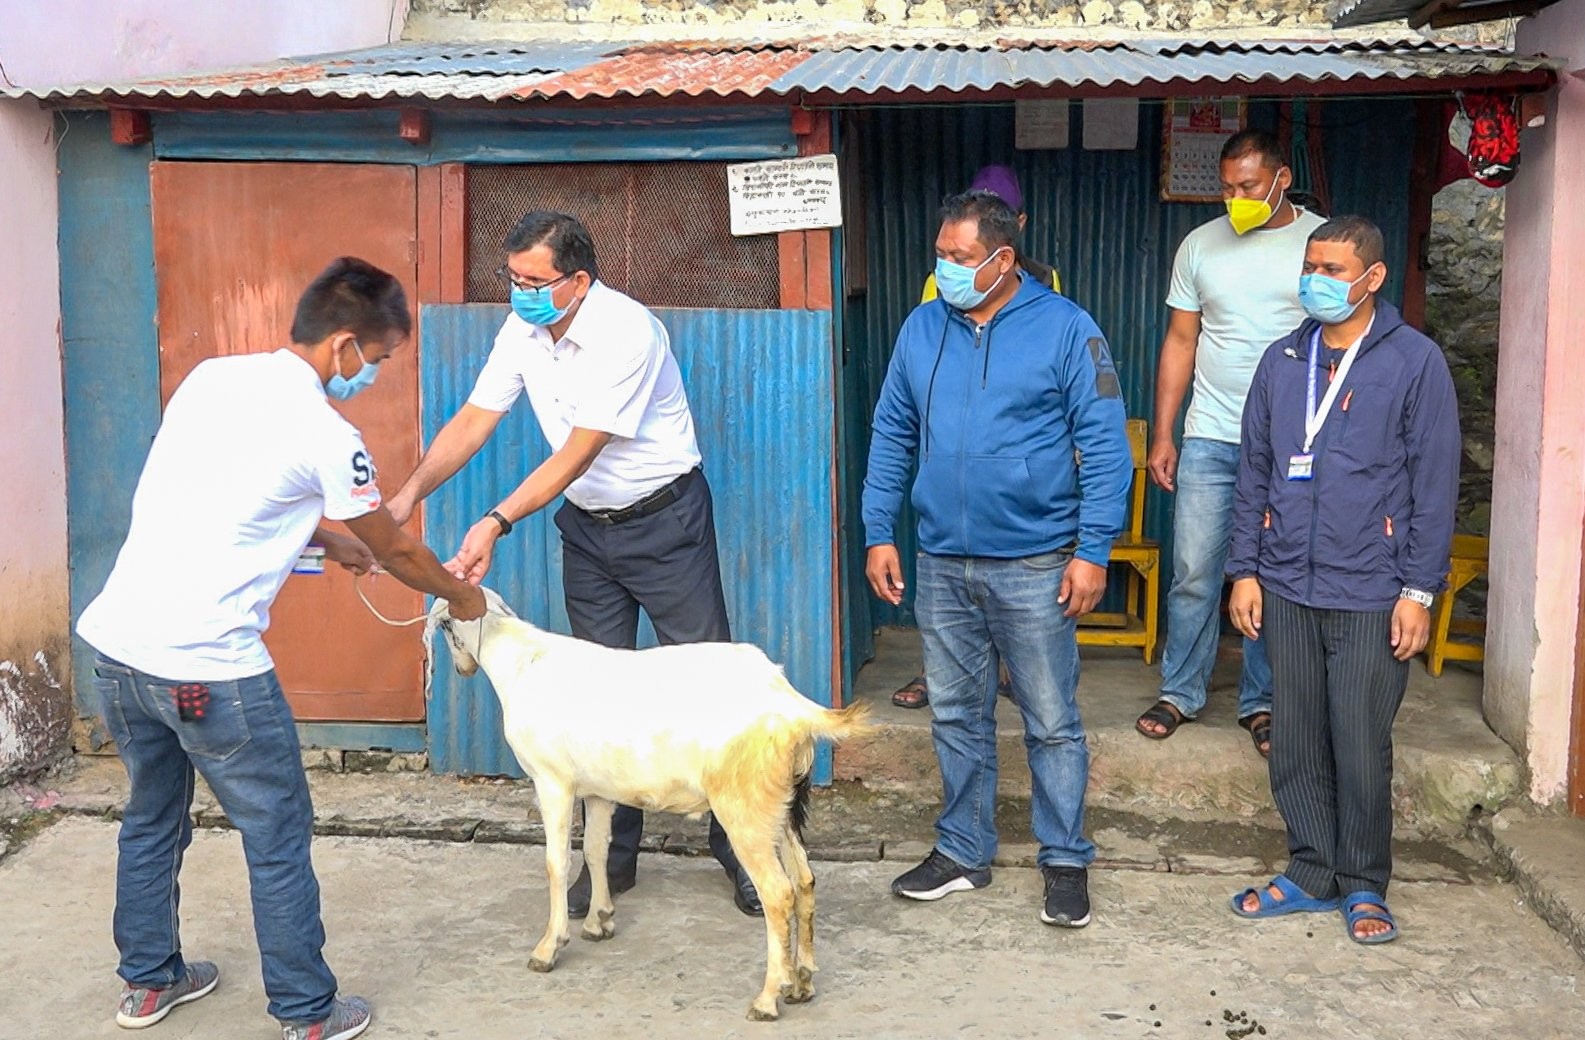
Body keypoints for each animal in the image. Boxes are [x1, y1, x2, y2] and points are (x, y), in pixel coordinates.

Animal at [431, 589, 868, 1020]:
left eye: (447, 629)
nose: (462, 670)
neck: (522, 663)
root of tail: (793, 707)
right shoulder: (598, 791)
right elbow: (596, 850)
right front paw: (599, 921)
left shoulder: (552, 781)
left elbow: (556, 864)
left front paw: (548, 947)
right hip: (783, 806)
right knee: (804, 880)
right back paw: (801, 983)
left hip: (745, 806)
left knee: (778, 893)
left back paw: (767, 999)